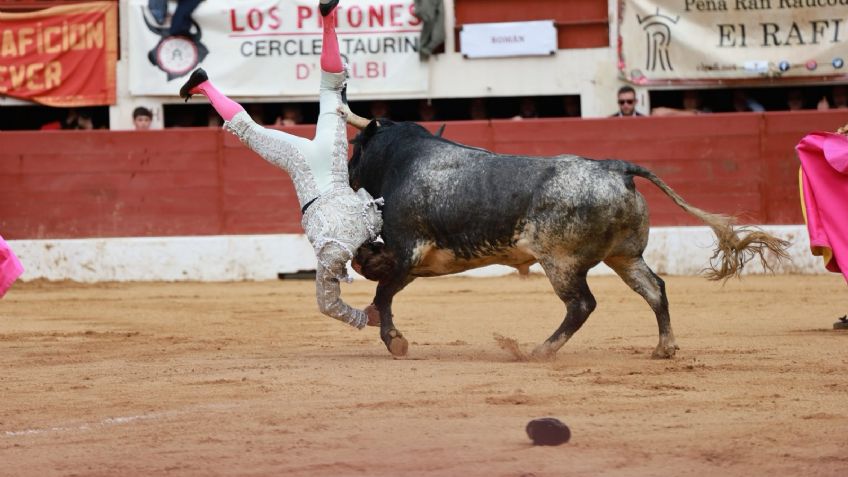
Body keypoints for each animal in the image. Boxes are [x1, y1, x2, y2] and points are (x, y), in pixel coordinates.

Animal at [342, 114, 788, 356]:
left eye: (356, 147)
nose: (346, 175)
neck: (403, 160)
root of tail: (616, 167)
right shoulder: (417, 261)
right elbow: (380, 284)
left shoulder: (408, 251)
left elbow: (384, 292)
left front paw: (395, 341)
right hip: (625, 256)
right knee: (654, 289)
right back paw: (664, 347)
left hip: (561, 262)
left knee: (582, 305)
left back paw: (539, 351)